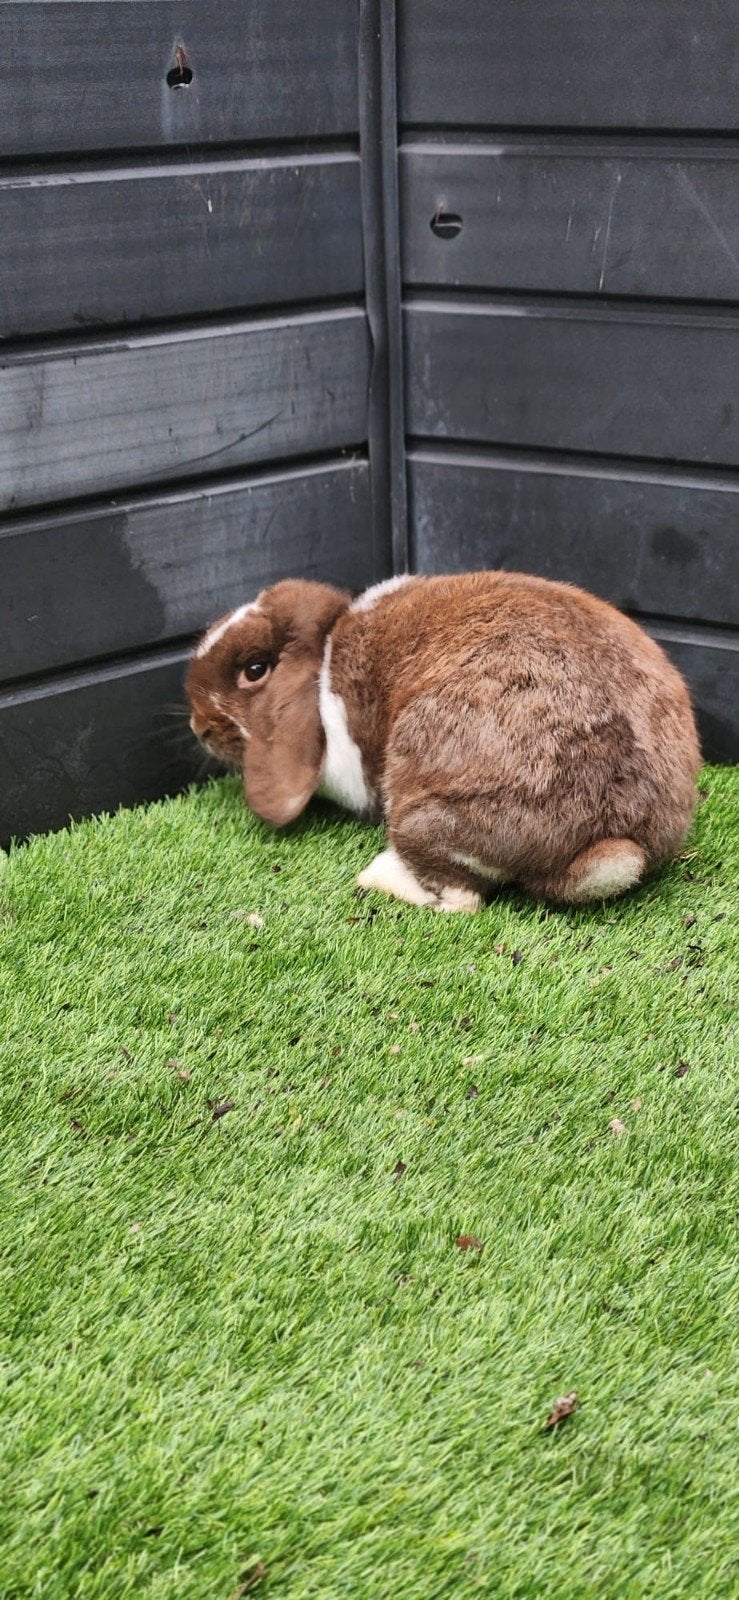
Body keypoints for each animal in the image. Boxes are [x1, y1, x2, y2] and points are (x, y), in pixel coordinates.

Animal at [187, 571, 701, 910]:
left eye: (255, 670)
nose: (198, 727)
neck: (328, 656)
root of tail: (612, 837)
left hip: (424, 813)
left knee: (462, 898)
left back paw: (378, 879)